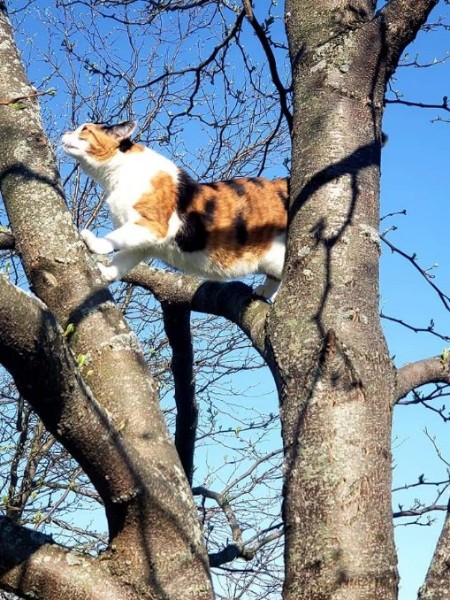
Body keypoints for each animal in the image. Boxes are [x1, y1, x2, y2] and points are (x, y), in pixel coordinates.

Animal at [62, 120, 288, 298]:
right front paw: (107, 273)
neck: (117, 176)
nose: (65, 132)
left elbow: (114, 238)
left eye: (84, 129)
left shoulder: (152, 226)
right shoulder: (143, 242)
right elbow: (123, 259)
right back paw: (263, 291)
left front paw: (94, 242)